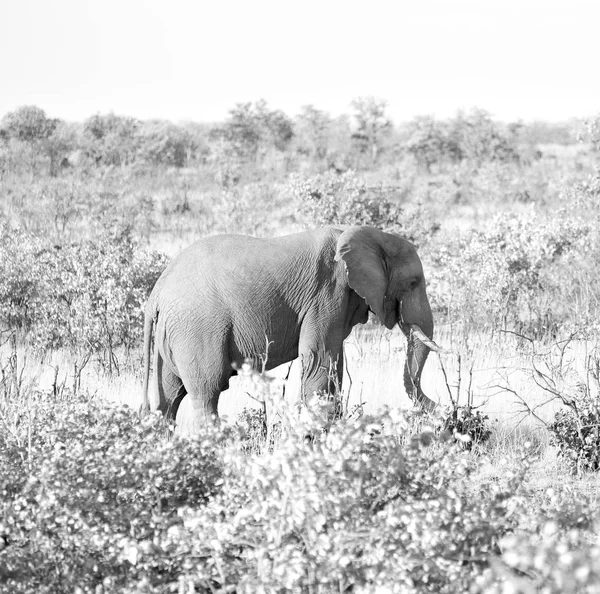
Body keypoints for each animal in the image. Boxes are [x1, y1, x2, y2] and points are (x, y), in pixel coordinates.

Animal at [141, 224, 438, 428]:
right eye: (412, 283)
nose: (437, 408)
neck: (369, 235)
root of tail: (157, 292)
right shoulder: (327, 293)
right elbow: (320, 358)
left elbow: (334, 362)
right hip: (197, 329)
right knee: (207, 392)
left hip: (174, 334)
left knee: (169, 397)